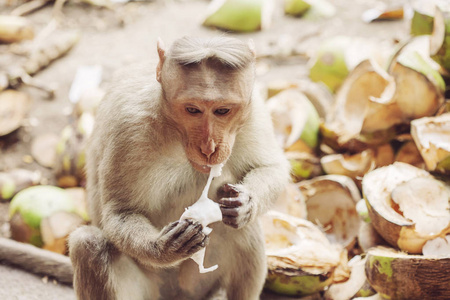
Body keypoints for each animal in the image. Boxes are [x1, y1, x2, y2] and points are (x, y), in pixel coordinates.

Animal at [68, 37, 290, 300]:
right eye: (192, 109)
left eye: (223, 110)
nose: (209, 147)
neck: (172, 127)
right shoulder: (129, 129)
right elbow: (120, 212)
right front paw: (163, 248)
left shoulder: (254, 112)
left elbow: (271, 167)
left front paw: (246, 204)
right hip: (151, 288)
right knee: (88, 245)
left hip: (199, 284)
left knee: (241, 228)